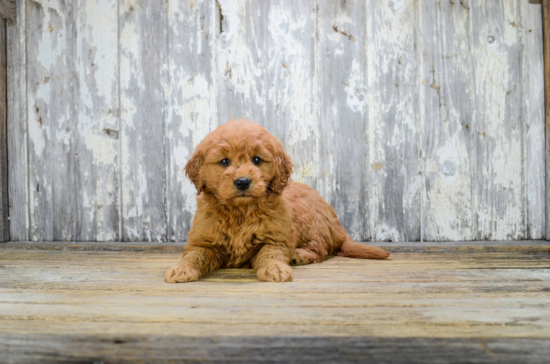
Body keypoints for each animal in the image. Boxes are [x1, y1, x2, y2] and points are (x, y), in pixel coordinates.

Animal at [166, 119, 390, 284]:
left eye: (257, 160)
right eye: (224, 161)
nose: (242, 181)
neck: (240, 211)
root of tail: (339, 228)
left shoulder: (276, 238)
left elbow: (270, 254)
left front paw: (275, 269)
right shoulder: (203, 241)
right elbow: (194, 256)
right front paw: (181, 269)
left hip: (312, 221)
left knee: (320, 249)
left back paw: (299, 255)